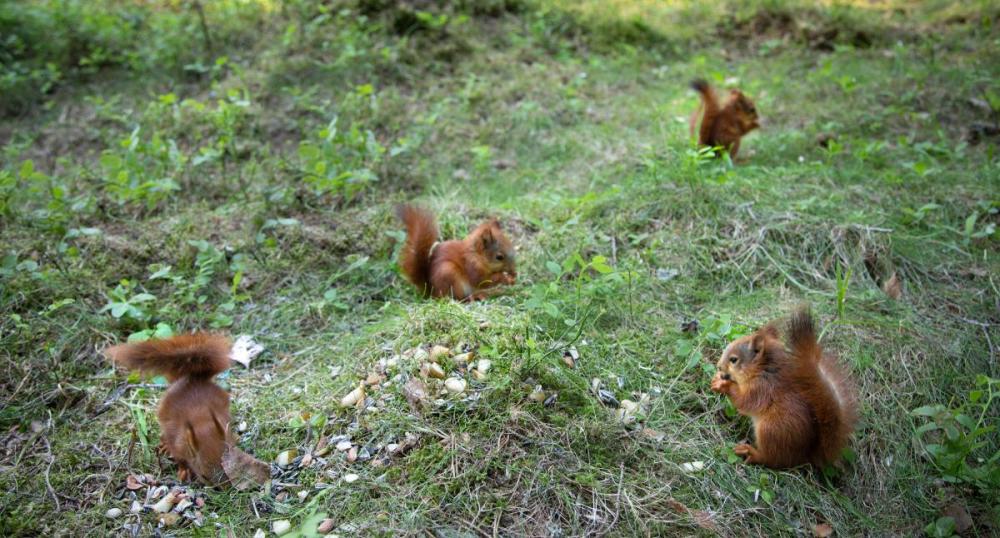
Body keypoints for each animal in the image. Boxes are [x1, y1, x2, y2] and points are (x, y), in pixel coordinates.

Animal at [105, 330, 234, 482]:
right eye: (204, 476)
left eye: (226, 468)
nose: (224, 488)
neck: (201, 422)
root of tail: (191, 378)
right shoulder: (177, 443)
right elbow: (180, 459)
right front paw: (184, 470)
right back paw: (165, 445)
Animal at [708, 308, 856, 466]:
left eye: (734, 359)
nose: (718, 366)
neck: (760, 371)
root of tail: (805, 455)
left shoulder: (762, 389)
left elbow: (745, 401)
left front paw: (723, 385)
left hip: (772, 430)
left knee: (773, 459)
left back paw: (752, 453)